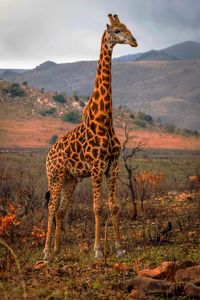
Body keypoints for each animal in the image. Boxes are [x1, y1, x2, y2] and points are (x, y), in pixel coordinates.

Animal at [43, 13, 138, 260]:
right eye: (116, 30)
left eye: (128, 27)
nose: (134, 41)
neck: (104, 122)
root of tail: (48, 155)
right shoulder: (96, 166)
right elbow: (97, 207)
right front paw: (98, 250)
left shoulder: (113, 166)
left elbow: (113, 206)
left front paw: (119, 247)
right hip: (55, 176)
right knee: (52, 208)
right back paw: (46, 252)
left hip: (70, 179)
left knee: (61, 210)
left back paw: (57, 249)